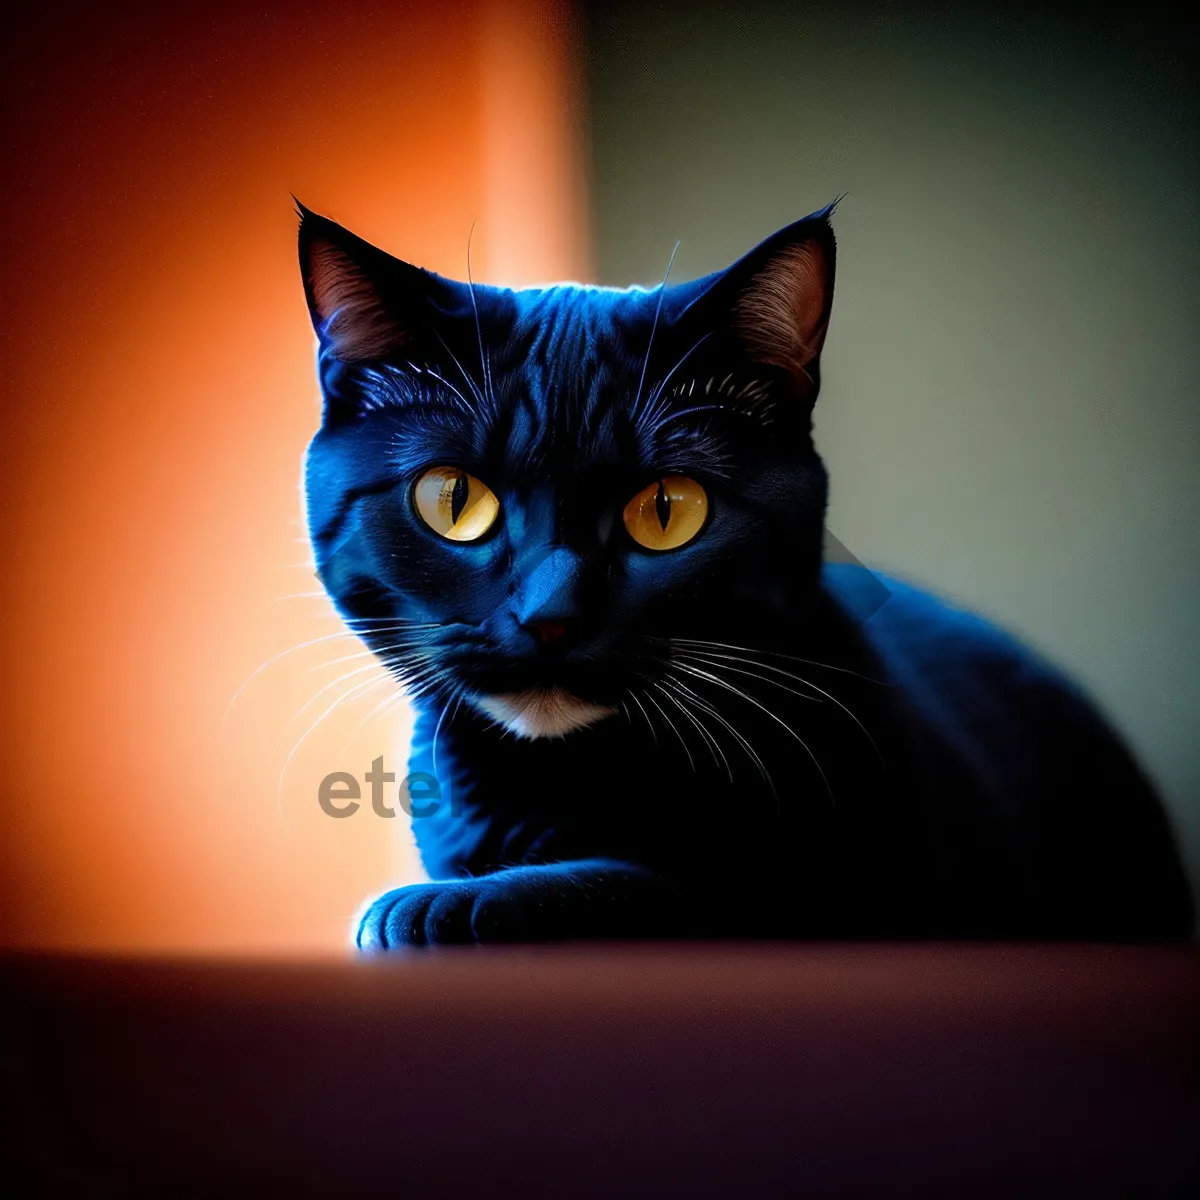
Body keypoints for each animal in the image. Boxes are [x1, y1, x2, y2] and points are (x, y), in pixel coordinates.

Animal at [297, 201, 1190, 945]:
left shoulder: (818, 886)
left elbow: (650, 885)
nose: (550, 617)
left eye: (667, 510)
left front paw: (446, 904)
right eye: (455, 500)